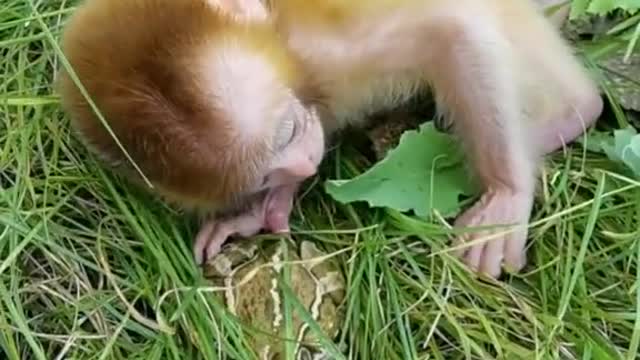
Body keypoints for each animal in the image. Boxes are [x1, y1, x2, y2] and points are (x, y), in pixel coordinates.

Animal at [58, 0, 600, 278]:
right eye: (261, 176)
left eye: (289, 129)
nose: (302, 167)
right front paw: (262, 210)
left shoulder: (328, 53)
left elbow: (454, 30)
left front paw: (507, 193)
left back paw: (568, 116)